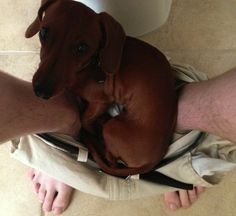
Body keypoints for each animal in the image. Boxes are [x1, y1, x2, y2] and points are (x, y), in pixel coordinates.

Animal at [25, 0, 177, 176]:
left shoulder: (101, 101)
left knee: (111, 159)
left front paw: (90, 128)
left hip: (112, 129)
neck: (93, 64)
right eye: (43, 33)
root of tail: (153, 161)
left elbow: (85, 119)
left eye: (82, 47)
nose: (41, 91)